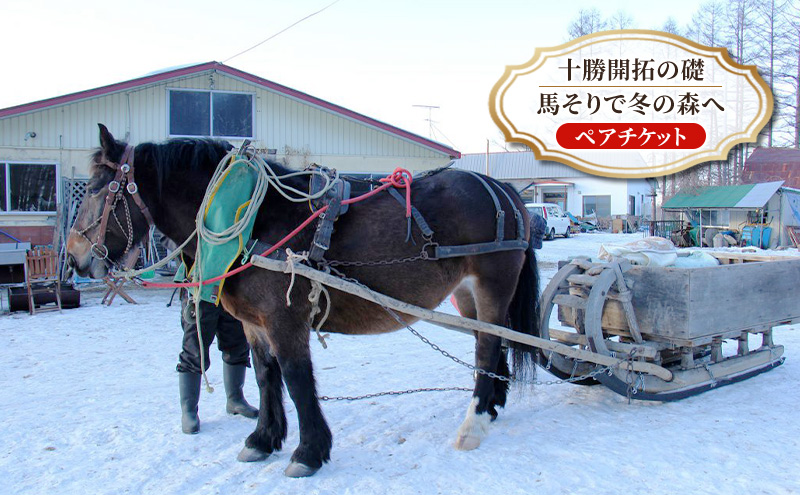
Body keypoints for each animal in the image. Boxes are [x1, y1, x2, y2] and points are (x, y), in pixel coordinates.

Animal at [66, 124, 541, 477]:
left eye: (95, 188)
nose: (73, 256)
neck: (253, 218)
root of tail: (504, 190)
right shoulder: (254, 323)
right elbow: (264, 377)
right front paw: (263, 439)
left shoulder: (285, 320)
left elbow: (296, 380)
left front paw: (308, 452)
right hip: (466, 294)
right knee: (491, 343)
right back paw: (492, 408)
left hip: (492, 284)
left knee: (487, 348)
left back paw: (474, 424)